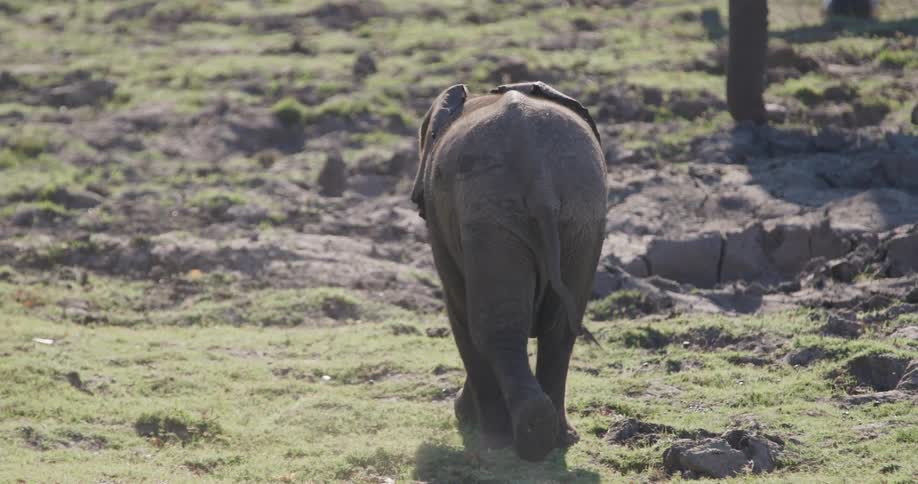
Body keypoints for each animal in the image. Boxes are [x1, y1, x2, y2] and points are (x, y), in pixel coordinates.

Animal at [411, 81, 607, 461]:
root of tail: (538, 174)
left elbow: (460, 313)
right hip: (581, 215)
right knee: (559, 331)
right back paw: (554, 435)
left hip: (491, 216)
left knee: (491, 331)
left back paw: (505, 439)